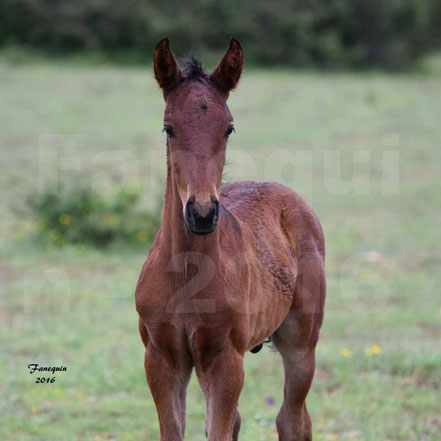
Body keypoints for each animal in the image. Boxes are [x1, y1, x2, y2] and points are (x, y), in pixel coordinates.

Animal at [136, 38, 324, 440]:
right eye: (168, 128)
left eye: (229, 128)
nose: (203, 213)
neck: (188, 275)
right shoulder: (160, 358)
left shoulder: (225, 360)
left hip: (301, 342)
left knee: (292, 419)